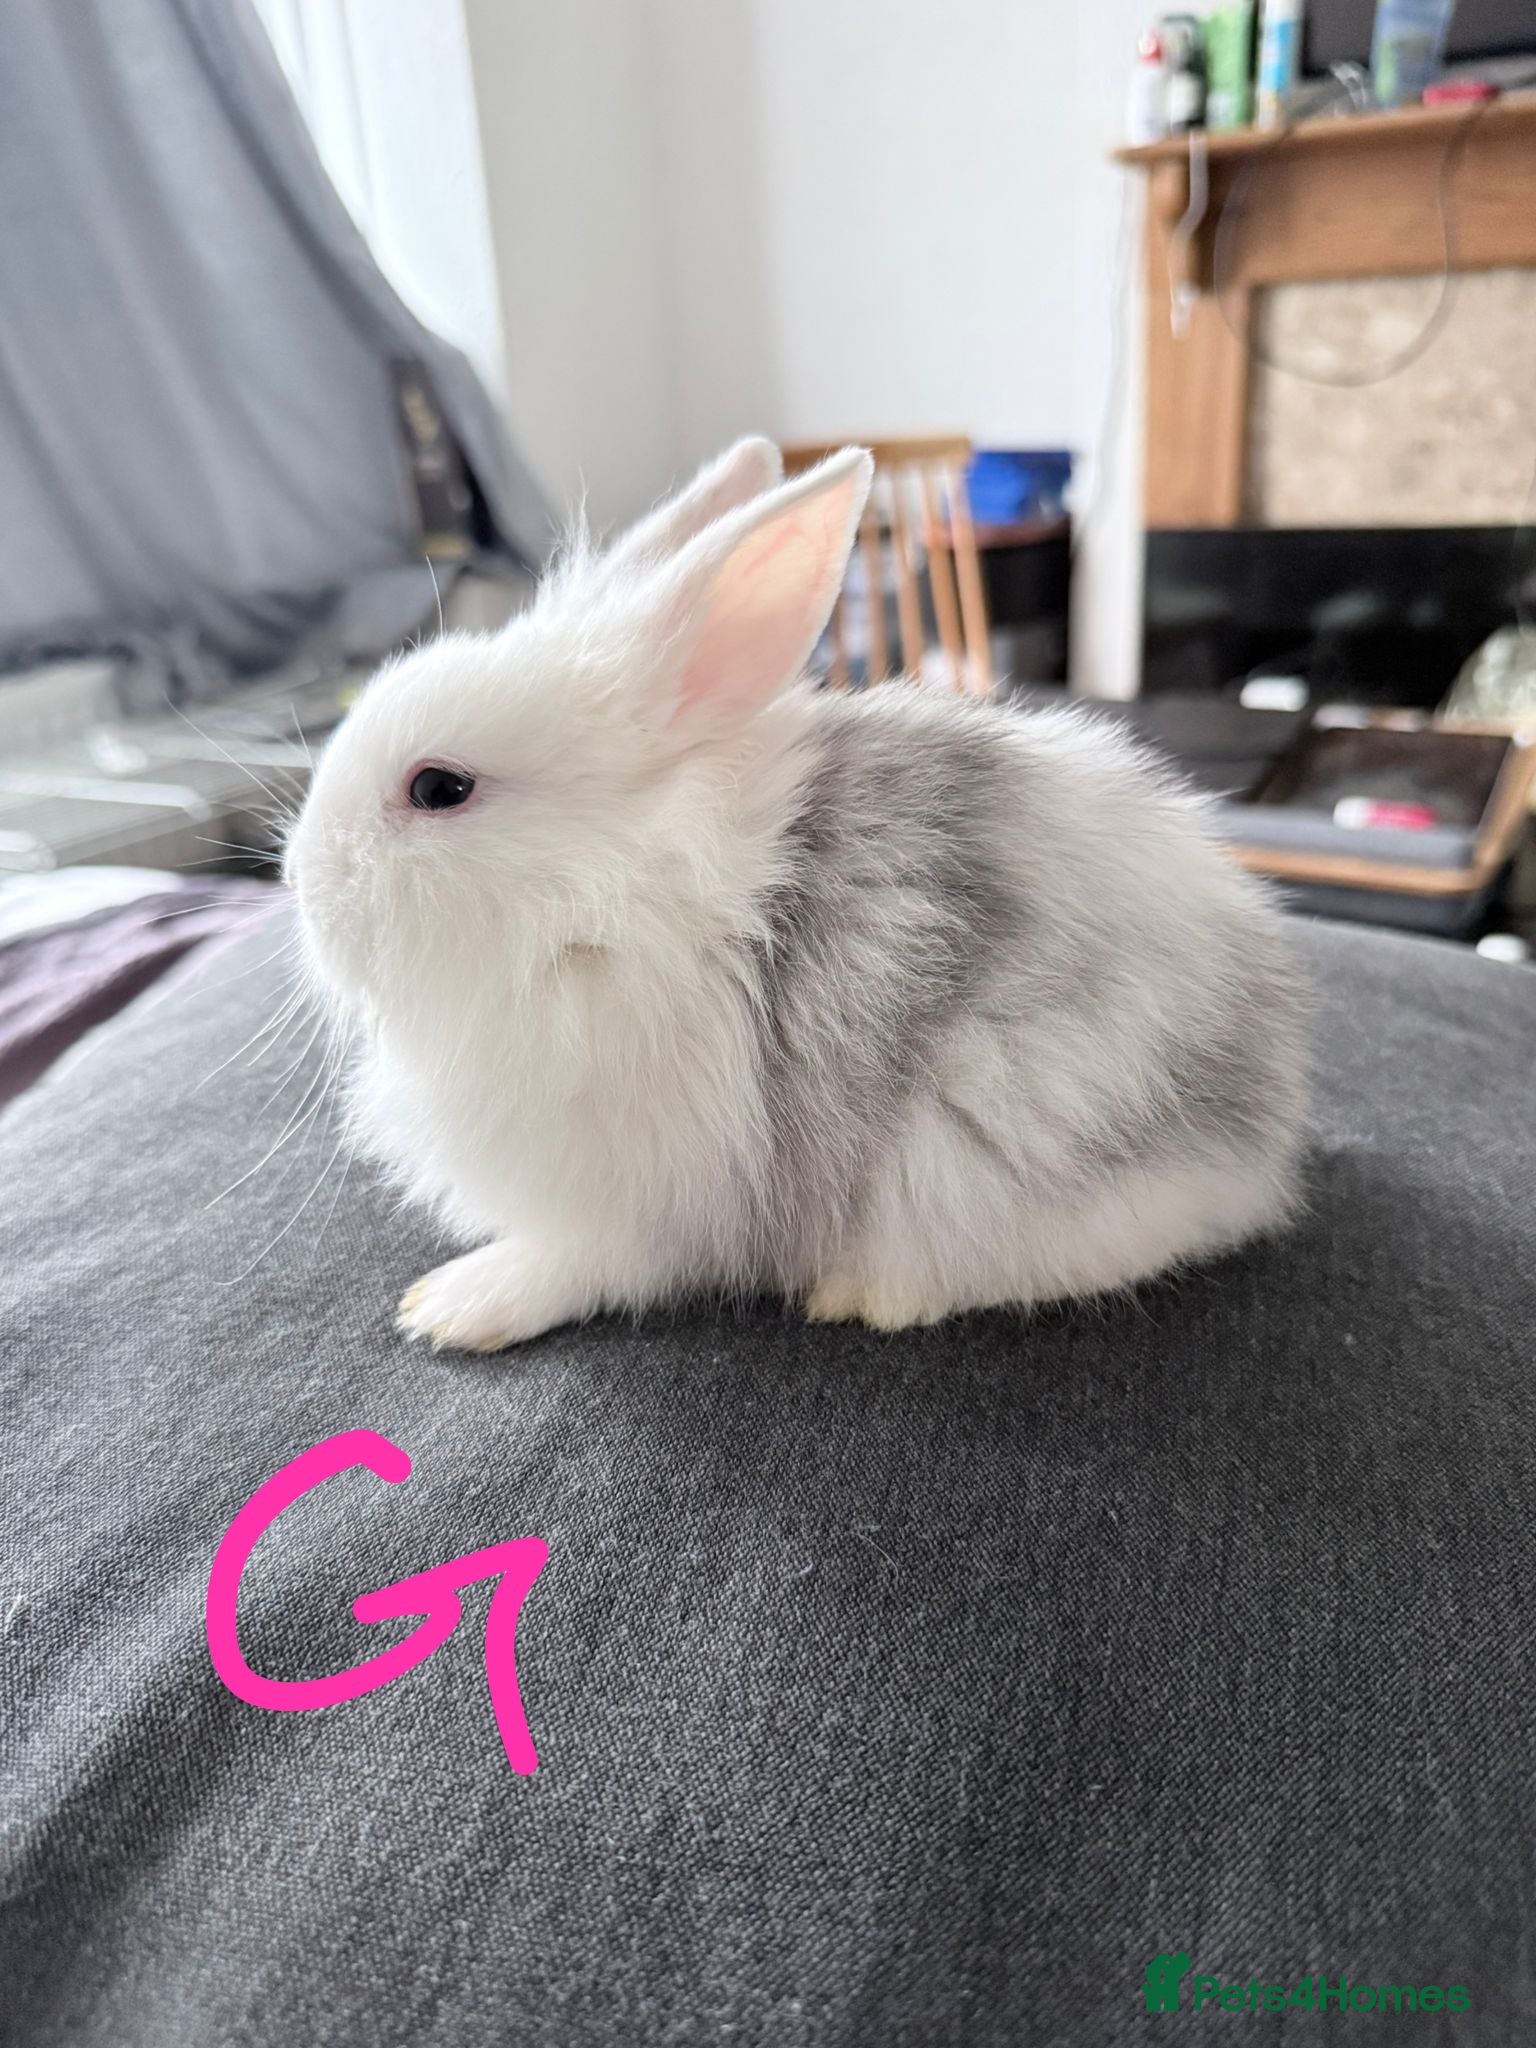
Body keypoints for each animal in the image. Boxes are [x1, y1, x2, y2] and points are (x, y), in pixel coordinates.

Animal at [285, 437, 1309, 1352]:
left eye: (438, 788)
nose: (296, 879)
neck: (602, 895)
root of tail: (1262, 1131)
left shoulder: (639, 1193)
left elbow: (576, 1263)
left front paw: (451, 1308)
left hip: (1004, 1142)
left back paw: (865, 1295)